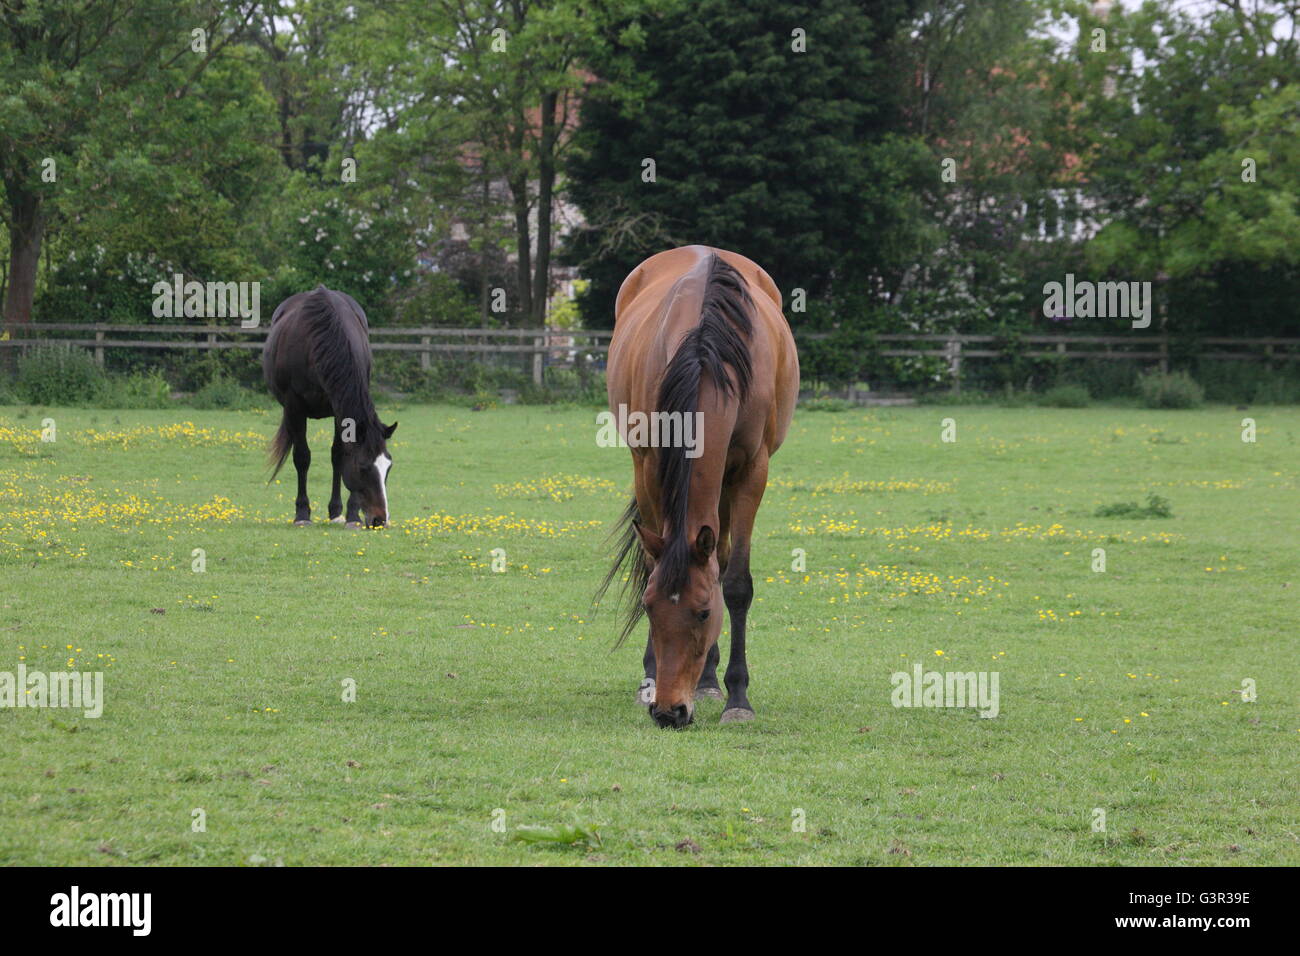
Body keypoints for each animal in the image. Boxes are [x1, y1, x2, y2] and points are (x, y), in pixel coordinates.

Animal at [258, 283, 390, 530]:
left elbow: (339, 455)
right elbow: (302, 457)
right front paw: (302, 513)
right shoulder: (294, 407)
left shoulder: (340, 409)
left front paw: (350, 515)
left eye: (389, 467)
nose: (379, 520)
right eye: (363, 467)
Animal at [600, 244, 800, 723]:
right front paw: (651, 678)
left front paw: (738, 698)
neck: (708, 353)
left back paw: (710, 681)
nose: (669, 712)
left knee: (722, 560)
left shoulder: (751, 471)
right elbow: (652, 567)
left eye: (704, 612)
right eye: (650, 608)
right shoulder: (650, 466)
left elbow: (736, 582)